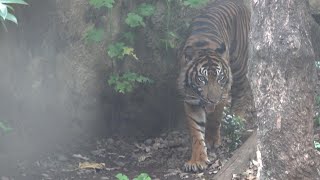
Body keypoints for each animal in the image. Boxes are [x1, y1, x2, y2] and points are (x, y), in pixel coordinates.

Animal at [178, 0, 252, 172]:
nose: (212, 100)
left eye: (220, 78)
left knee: (242, 91)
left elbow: (215, 119)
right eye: (202, 79)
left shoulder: (222, 94)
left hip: (239, 65)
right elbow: (196, 131)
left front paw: (212, 140)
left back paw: (236, 119)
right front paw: (197, 160)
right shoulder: (190, 99)